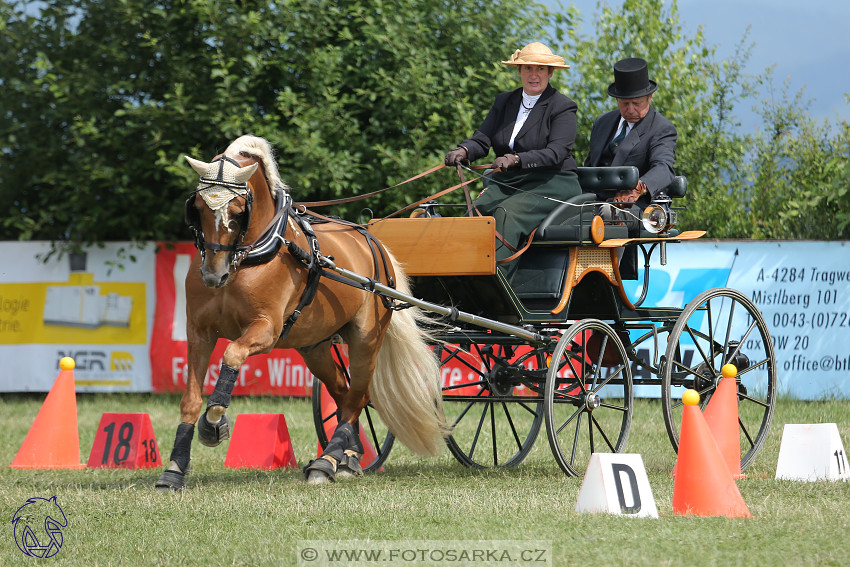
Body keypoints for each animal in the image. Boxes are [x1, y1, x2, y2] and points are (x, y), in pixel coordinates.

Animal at [160, 134, 450, 488]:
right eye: (198, 209)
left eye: (238, 211)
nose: (214, 276)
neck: (251, 256)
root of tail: (374, 243)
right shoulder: (198, 332)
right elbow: (190, 399)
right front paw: (174, 469)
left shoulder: (266, 331)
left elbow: (231, 354)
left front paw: (214, 423)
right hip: (316, 347)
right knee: (343, 392)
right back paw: (348, 456)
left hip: (366, 339)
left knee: (357, 395)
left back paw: (327, 462)